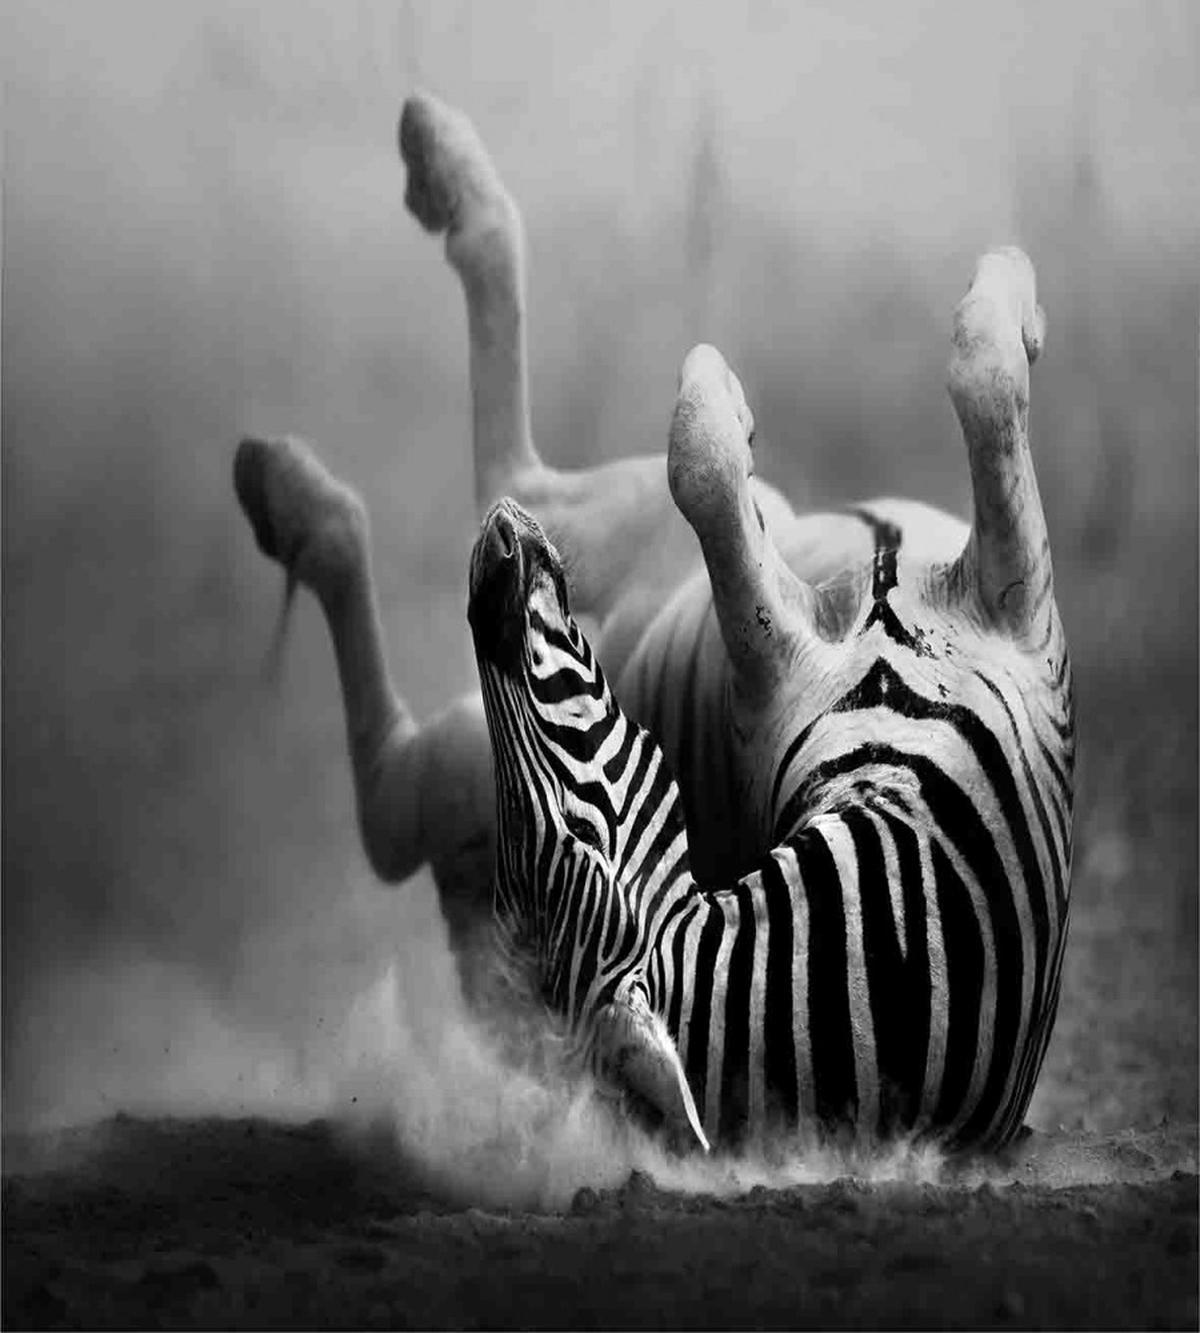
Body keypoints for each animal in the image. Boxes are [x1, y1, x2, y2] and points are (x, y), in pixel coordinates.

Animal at [232, 93, 1074, 1148]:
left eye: (573, 831)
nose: (493, 581)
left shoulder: (1011, 614)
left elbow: (960, 385)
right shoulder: (908, 624)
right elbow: (751, 452)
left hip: (550, 597)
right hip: (585, 549)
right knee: (506, 479)